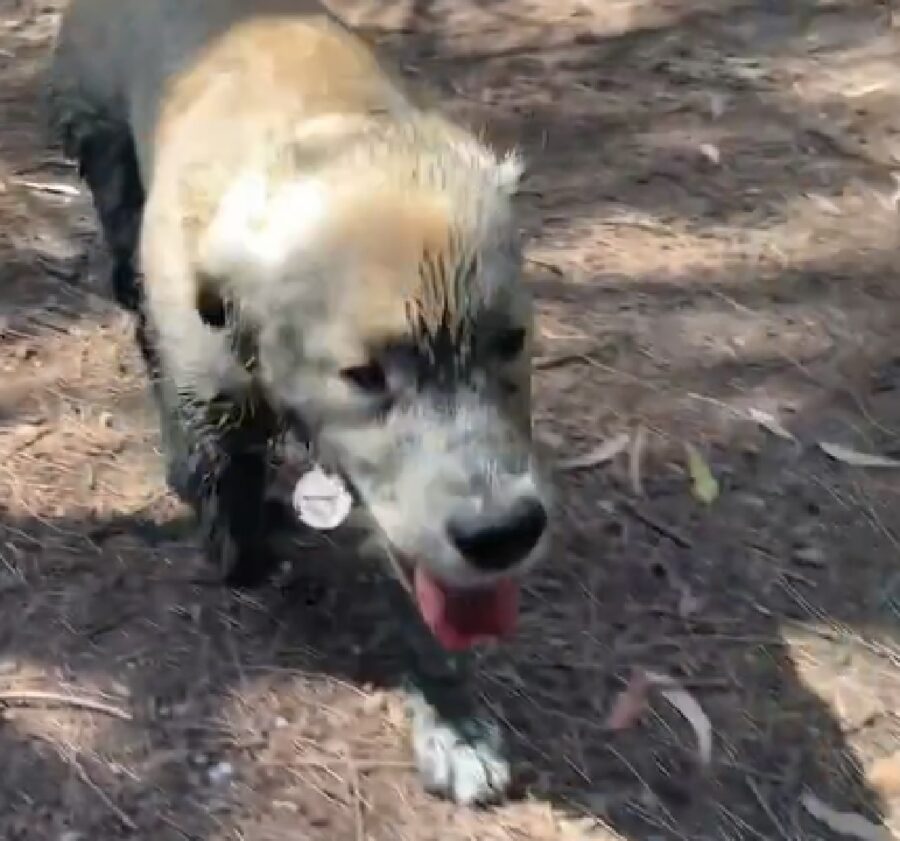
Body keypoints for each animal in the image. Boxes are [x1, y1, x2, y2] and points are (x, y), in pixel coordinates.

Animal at [45, 0, 552, 804]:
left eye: (511, 341)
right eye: (363, 375)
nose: (503, 533)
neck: (323, 133)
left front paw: (453, 724)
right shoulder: (208, 392)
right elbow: (232, 518)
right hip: (107, 167)